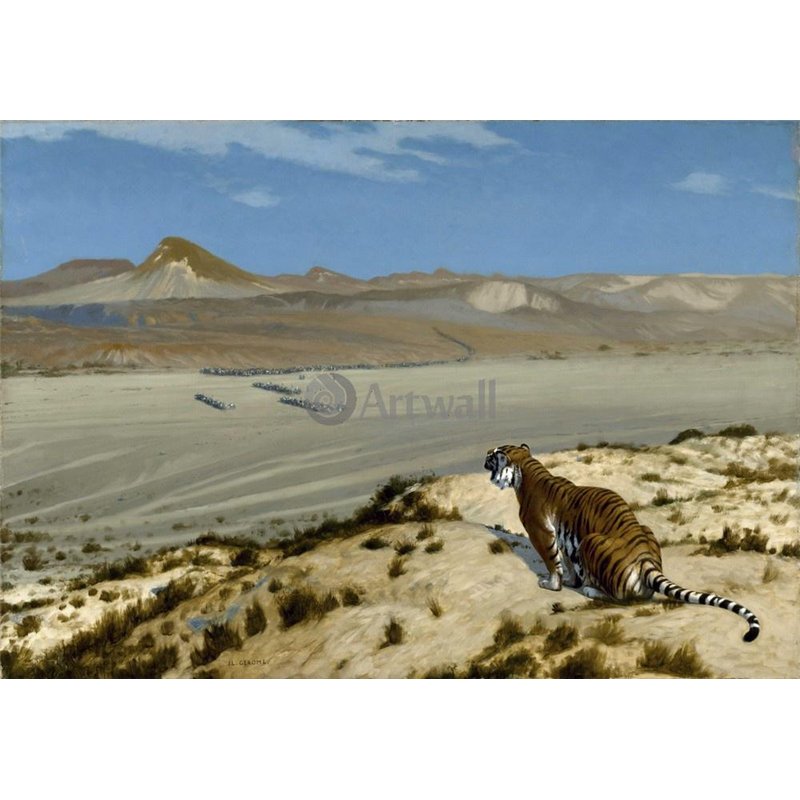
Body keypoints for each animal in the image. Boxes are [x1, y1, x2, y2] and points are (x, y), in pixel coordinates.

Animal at [484, 443, 760, 642]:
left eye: (494, 454)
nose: (484, 456)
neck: (526, 469)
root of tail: (646, 559)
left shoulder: (540, 531)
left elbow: (553, 562)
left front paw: (551, 584)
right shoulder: (563, 537)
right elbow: (567, 561)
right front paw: (571, 580)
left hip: (590, 541)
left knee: (620, 598)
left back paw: (590, 589)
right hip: (641, 531)